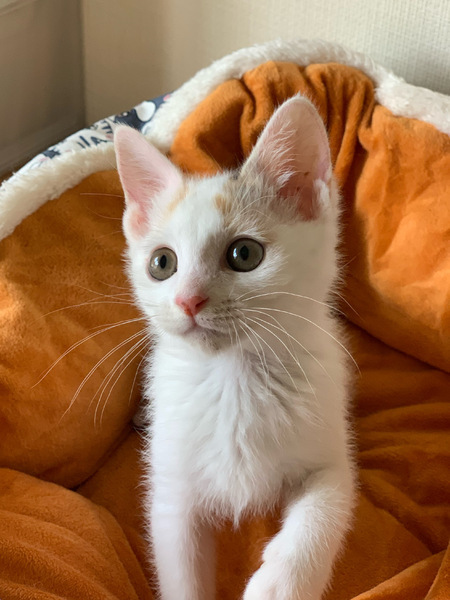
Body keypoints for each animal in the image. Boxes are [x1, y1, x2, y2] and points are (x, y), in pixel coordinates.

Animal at [114, 95, 355, 600]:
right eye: (161, 263)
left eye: (244, 254)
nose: (188, 300)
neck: (233, 374)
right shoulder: (172, 491)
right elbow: (180, 567)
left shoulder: (330, 456)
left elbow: (325, 508)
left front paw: (280, 584)